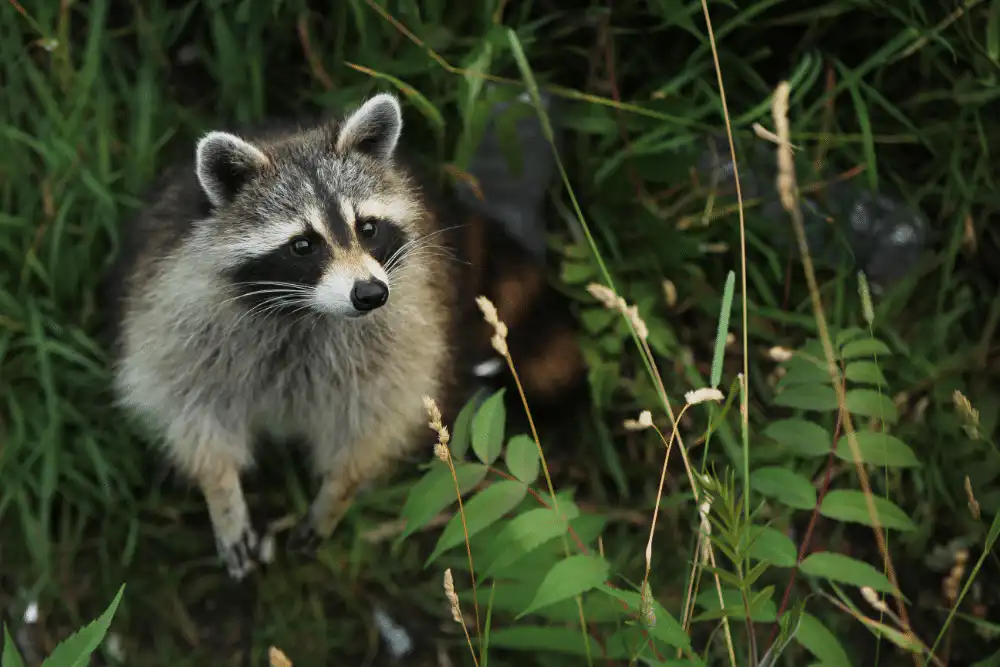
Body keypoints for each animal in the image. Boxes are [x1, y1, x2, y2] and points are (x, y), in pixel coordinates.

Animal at [104, 93, 585, 580]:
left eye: (367, 228)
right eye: (303, 245)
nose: (371, 294)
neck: (306, 311)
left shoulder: (405, 326)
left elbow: (376, 418)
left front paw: (338, 492)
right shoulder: (179, 314)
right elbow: (192, 409)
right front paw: (221, 494)